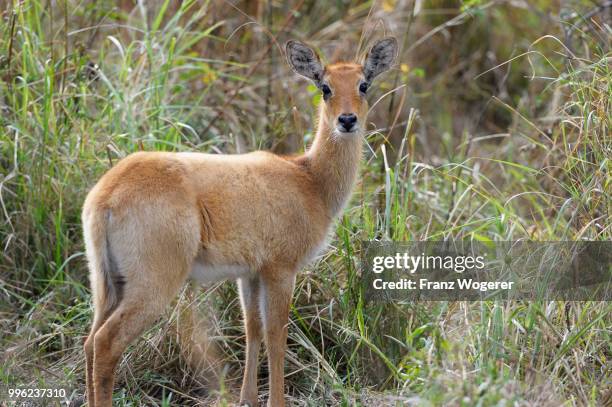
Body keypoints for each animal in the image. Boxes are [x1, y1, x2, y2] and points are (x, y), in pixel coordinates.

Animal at [82, 36, 396, 406]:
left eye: (363, 84)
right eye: (325, 87)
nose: (347, 120)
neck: (309, 180)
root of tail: (107, 194)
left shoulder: (250, 273)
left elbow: (252, 328)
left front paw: (248, 398)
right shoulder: (281, 269)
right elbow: (277, 334)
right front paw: (276, 401)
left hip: (105, 284)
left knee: (89, 341)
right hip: (153, 283)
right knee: (106, 342)